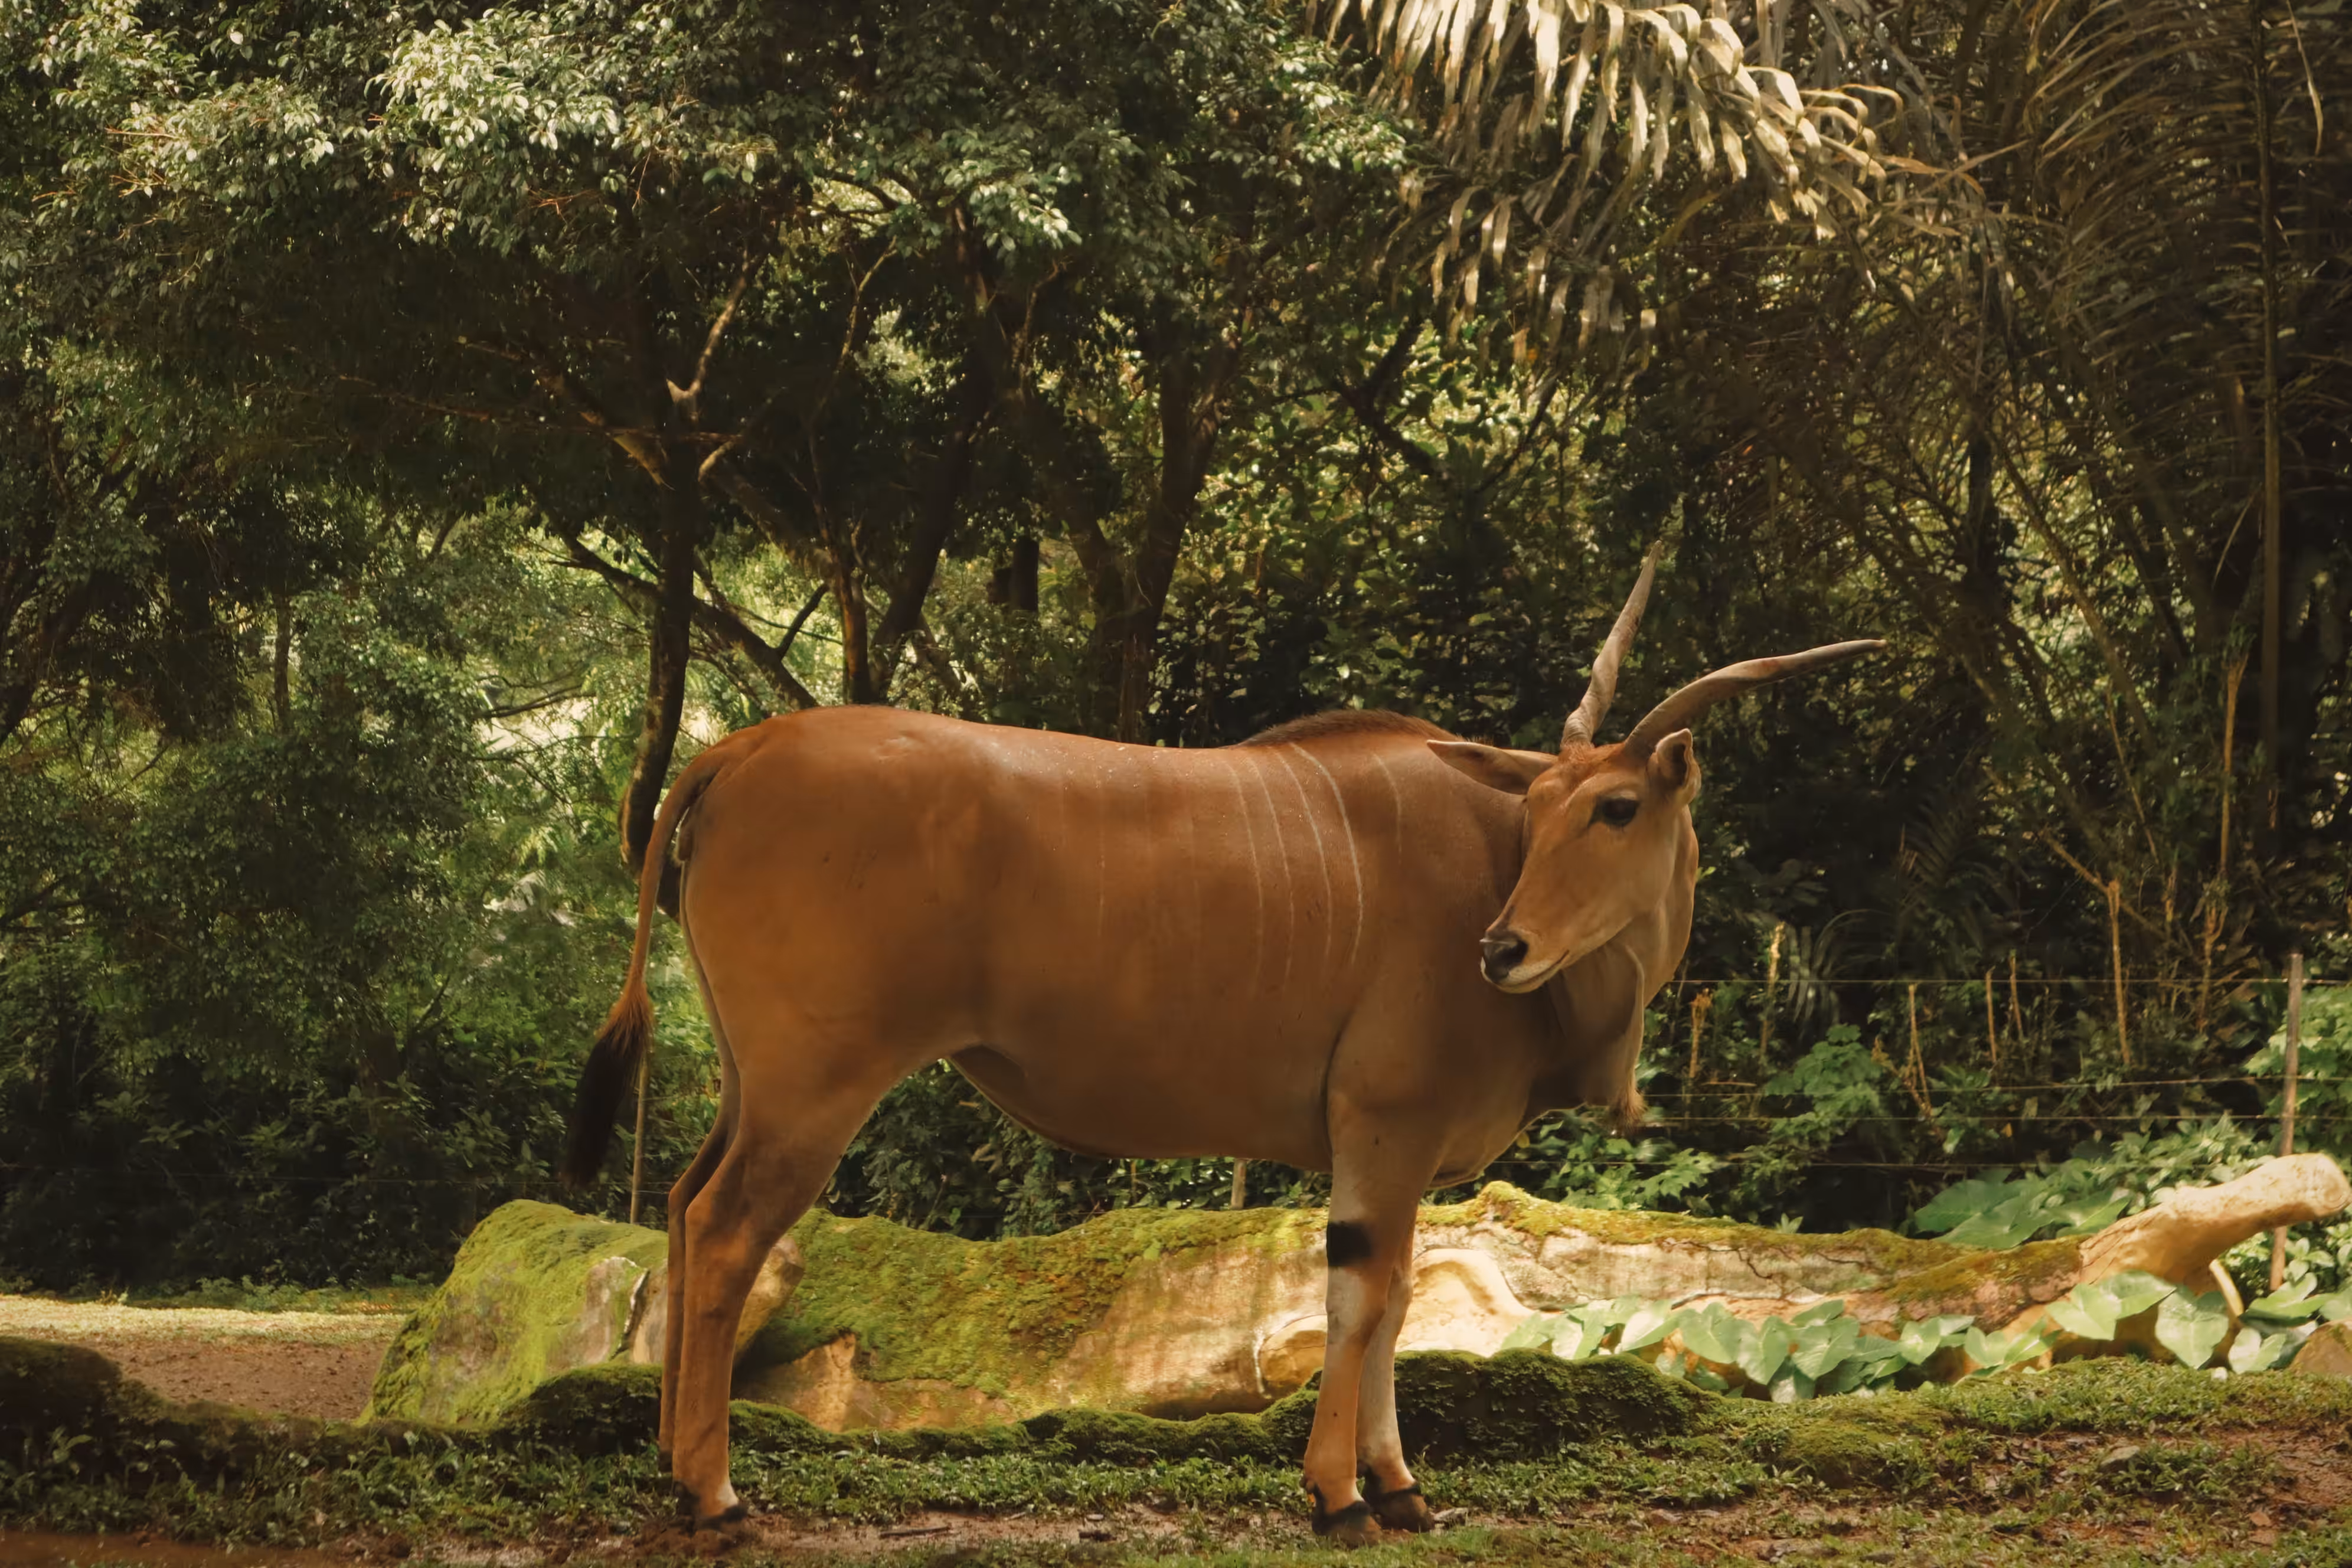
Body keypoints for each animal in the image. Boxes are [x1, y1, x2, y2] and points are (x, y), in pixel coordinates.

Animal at [563, 554, 1879, 1544]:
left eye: (1612, 806)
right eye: (1544, 807)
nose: (1502, 947)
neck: (1481, 851)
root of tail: (735, 751)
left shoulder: (1393, 1149)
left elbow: (1401, 1296)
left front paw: (1400, 1489)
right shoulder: (1382, 1123)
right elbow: (1367, 1293)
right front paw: (1341, 1495)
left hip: (753, 1082)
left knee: (678, 1204)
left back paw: (670, 1470)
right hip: (815, 1088)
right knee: (724, 1230)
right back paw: (716, 1495)